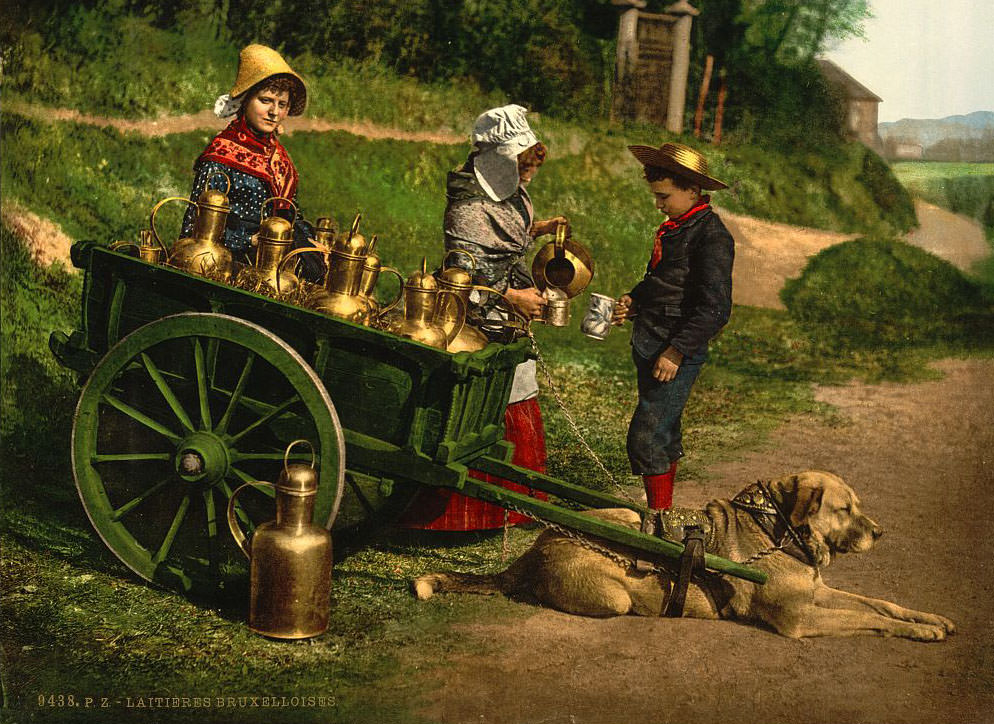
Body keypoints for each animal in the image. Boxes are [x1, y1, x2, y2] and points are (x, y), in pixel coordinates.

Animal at [412, 472, 952, 640]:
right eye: (845, 509)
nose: (880, 532)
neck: (776, 529)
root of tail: (533, 550)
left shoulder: (819, 594)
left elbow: (881, 605)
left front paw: (930, 619)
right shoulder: (800, 620)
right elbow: (870, 618)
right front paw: (919, 632)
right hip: (614, 592)